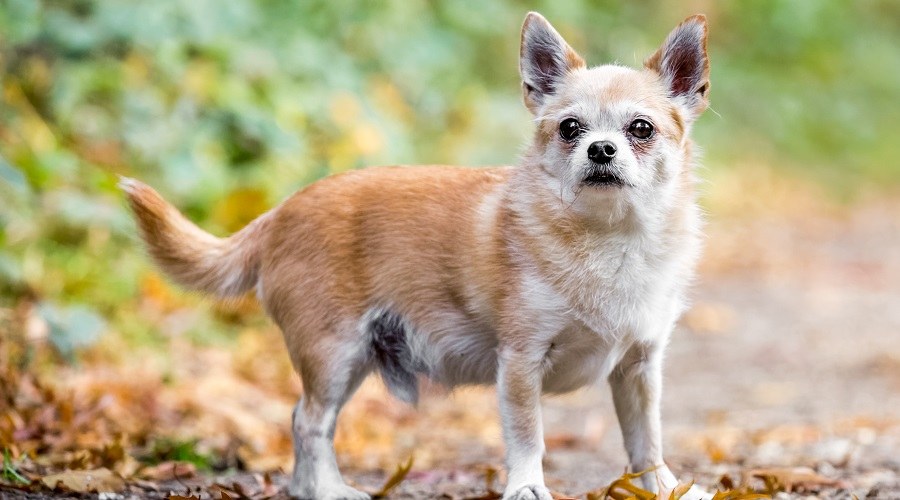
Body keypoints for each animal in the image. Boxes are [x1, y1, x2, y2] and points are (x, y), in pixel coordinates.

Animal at [121, 11, 712, 500]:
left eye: (640, 129)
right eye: (570, 128)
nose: (601, 149)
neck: (610, 236)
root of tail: (281, 211)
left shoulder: (639, 367)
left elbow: (646, 439)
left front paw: (666, 488)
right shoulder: (521, 363)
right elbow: (528, 436)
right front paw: (527, 487)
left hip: (353, 359)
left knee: (304, 422)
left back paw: (312, 491)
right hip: (333, 355)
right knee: (308, 422)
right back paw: (332, 491)